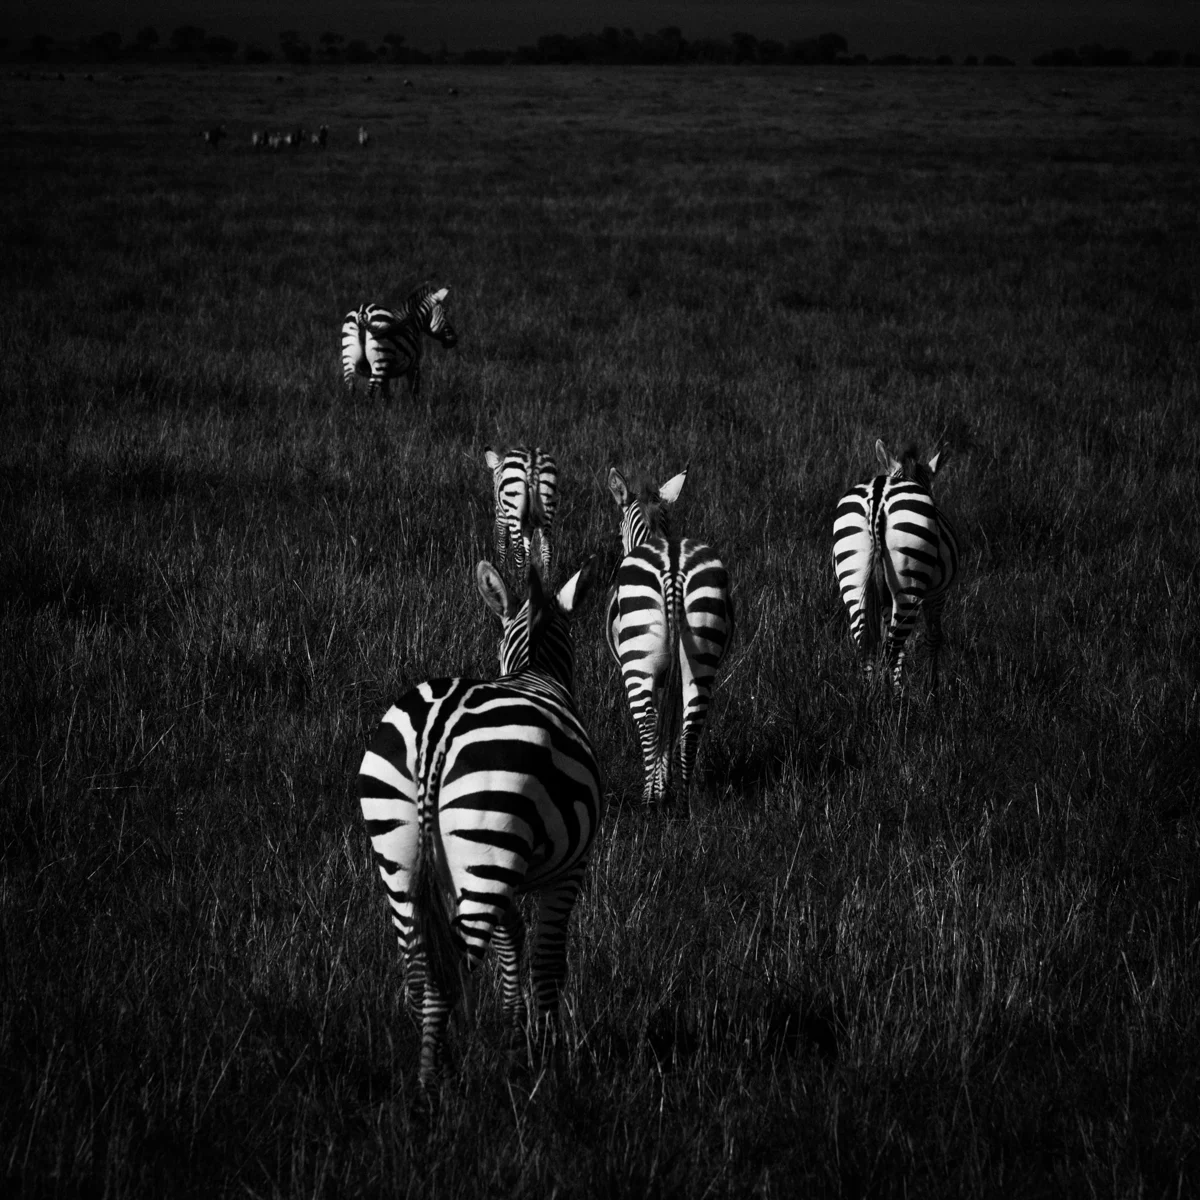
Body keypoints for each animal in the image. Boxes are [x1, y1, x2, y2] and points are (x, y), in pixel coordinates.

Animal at [357, 554, 603, 1088]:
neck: (534, 669)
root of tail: (438, 727)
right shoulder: (570, 871)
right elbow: (547, 960)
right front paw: (546, 1061)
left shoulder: (501, 872)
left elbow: (511, 943)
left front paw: (515, 1041)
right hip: (487, 839)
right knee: (447, 975)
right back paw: (434, 1087)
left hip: (401, 855)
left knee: (420, 971)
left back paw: (438, 1067)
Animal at [484, 446, 559, 579]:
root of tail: (532, 459)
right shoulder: (528, 523)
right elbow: (528, 547)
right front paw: (529, 575)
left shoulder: (501, 517)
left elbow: (502, 543)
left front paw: (501, 572)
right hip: (547, 506)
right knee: (547, 547)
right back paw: (546, 580)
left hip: (513, 508)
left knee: (518, 549)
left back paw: (519, 582)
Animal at [606, 466, 734, 811]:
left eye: (618, 532)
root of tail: (673, 567)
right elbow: (672, 724)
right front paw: (666, 786)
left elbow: (659, 725)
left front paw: (659, 789)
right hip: (700, 658)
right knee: (690, 726)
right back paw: (684, 803)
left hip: (638, 664)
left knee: (649, 723)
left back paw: (649, 801)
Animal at [832, 440, 960, 691]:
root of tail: (877, 496)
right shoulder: (937, 594)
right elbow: (933, 637)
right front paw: (932, 690)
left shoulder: (884, 597)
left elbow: (883, 635)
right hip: (909, 586)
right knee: (893, 648)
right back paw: (896, 699)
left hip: (853, 577)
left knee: (866, 645)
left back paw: (870, 696)